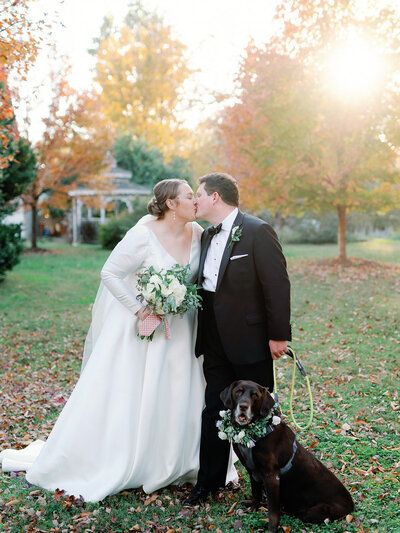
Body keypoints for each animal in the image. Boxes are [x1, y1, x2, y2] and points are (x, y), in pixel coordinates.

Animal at [220, 380, 354, 528]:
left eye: (254, 395)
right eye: (238, 391)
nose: (243, 406)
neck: (251, 434)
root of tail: (351, 504)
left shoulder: (272, 476)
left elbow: (273, 511)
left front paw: (272, 528)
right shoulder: (252, 471)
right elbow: (256, 493)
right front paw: (254, 507)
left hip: (316, 510)